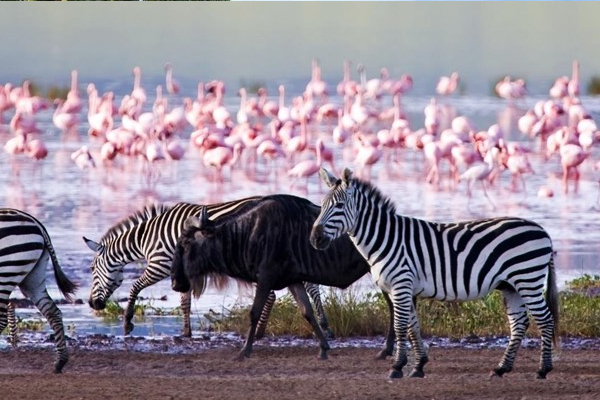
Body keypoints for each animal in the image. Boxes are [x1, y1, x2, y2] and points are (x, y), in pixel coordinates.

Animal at [0, 208, 77, 374]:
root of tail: (37, 224)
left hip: (6, 273)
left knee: (1, 318)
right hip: (33, 278)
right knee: (52, 311)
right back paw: (59, 363)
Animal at [83, 197, 332, 338]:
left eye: (93, 270)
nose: (92, 304)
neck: (147, 238)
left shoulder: (160, 264)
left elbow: (135, 287)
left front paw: (127, 323)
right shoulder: (181, 271)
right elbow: (185, 303)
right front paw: (186, 333)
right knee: (309, 287)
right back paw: (323, 325)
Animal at [312, 167, 560, 380]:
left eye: (340, 205)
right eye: (322, 205)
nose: (315, 238)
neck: (386, 238)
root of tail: (543, 230)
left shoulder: (401, 284)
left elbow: (400, 326)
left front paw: (397, 367)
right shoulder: (402, 288)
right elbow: (413, 327)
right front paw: (418, 366)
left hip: (527, 279)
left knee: (545, 320)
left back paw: (543, 369)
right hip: (511, 286)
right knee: (518, 323)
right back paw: (501, 368)